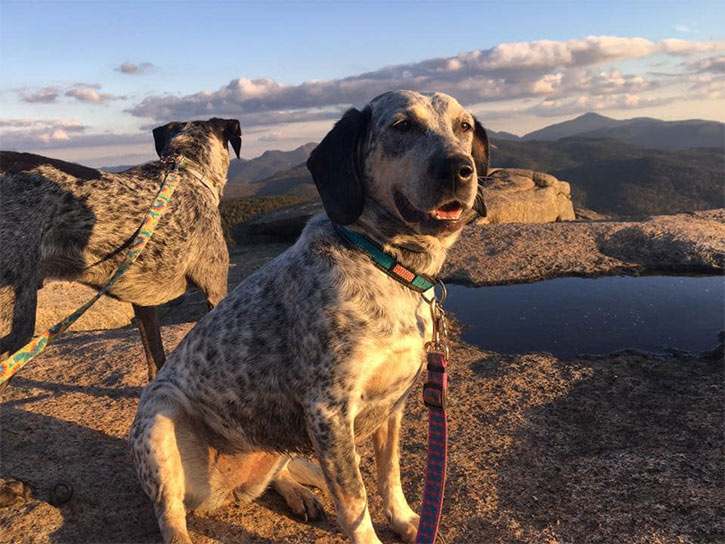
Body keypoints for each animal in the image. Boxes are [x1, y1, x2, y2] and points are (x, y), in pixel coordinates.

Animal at [129, 91, 490, 540]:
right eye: (402, 125)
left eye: (464, 127)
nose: (459, 168)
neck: (386, 264)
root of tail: (224, 490)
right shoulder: (328, 412)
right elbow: (355, 500)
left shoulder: (394, 405)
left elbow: (389, 475)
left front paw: (407, 521)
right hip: (159, 419)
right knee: (170, 514)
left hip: (278, 445)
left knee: (275, 477)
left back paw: (298, 493)